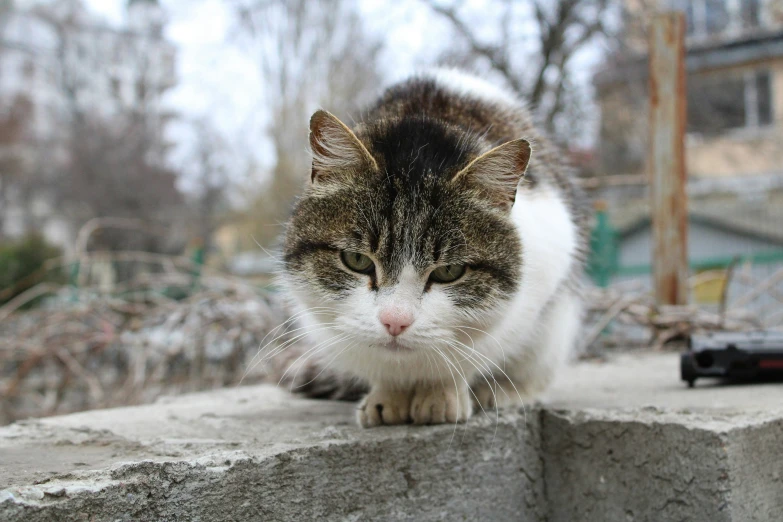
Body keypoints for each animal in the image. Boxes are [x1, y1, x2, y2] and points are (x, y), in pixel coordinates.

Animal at [280, 69, 588, 426]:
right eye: (356, 260)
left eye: (449, 271)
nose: (395, 322)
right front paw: (388, 396)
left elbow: (468, 355)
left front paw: (441, 395)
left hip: (555, 330)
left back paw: (502, 393)